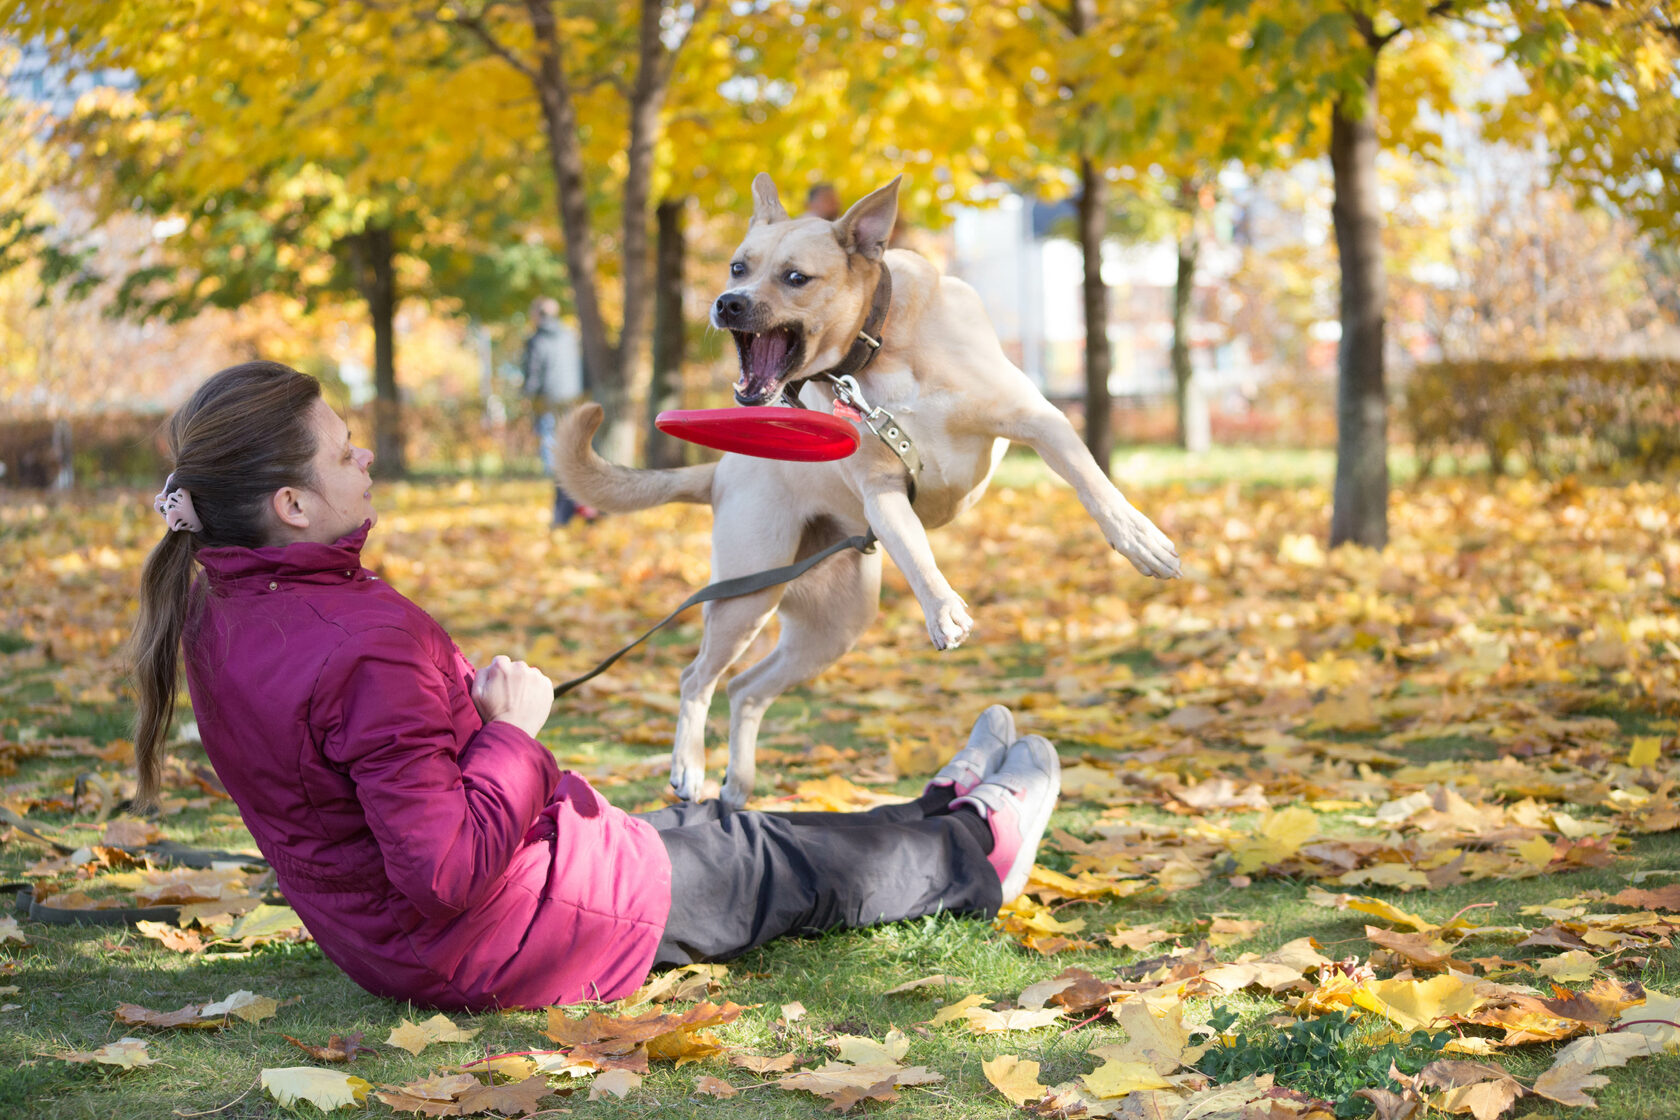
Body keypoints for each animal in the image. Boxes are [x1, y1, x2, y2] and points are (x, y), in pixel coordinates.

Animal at [557, 172, 1176, 805]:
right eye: (737, 267)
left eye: (796, 278)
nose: (729, 303)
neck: (876, 348)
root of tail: (724, 468)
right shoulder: (882, 491)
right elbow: (916, 551)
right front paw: (941, 609)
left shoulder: (1037, 419)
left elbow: (1091, 483)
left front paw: (1139, 539)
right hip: (747, 595)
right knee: (697, 677)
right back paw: (688, 765)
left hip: (834, 623)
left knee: (747, 688)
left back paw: (738, 783)